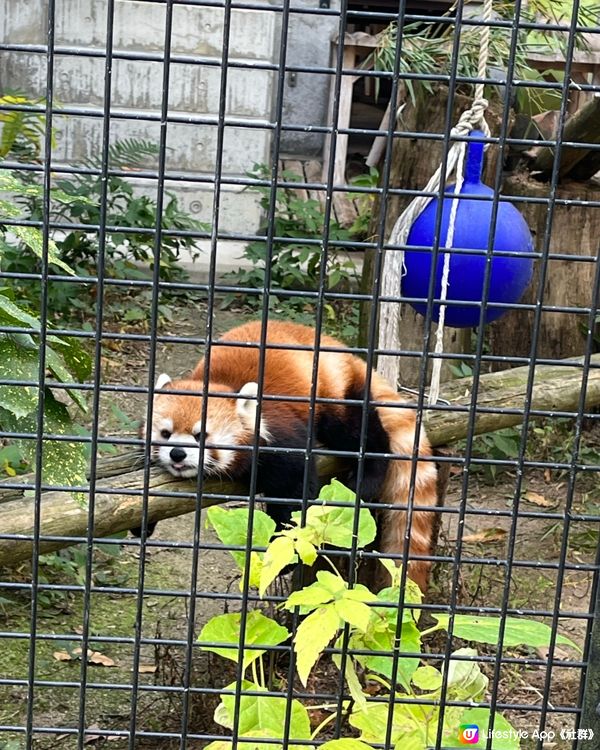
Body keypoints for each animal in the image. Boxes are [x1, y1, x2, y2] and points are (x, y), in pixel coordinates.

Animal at [144, 320, 436, 592]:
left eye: (200, 435)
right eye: (166, 433)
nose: (178, 454)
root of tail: (343, 351)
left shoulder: (281, 433)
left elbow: (294, 492)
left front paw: (284, 552)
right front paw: (144, 526)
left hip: (333, 394)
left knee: (360, 432)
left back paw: (365, 478)